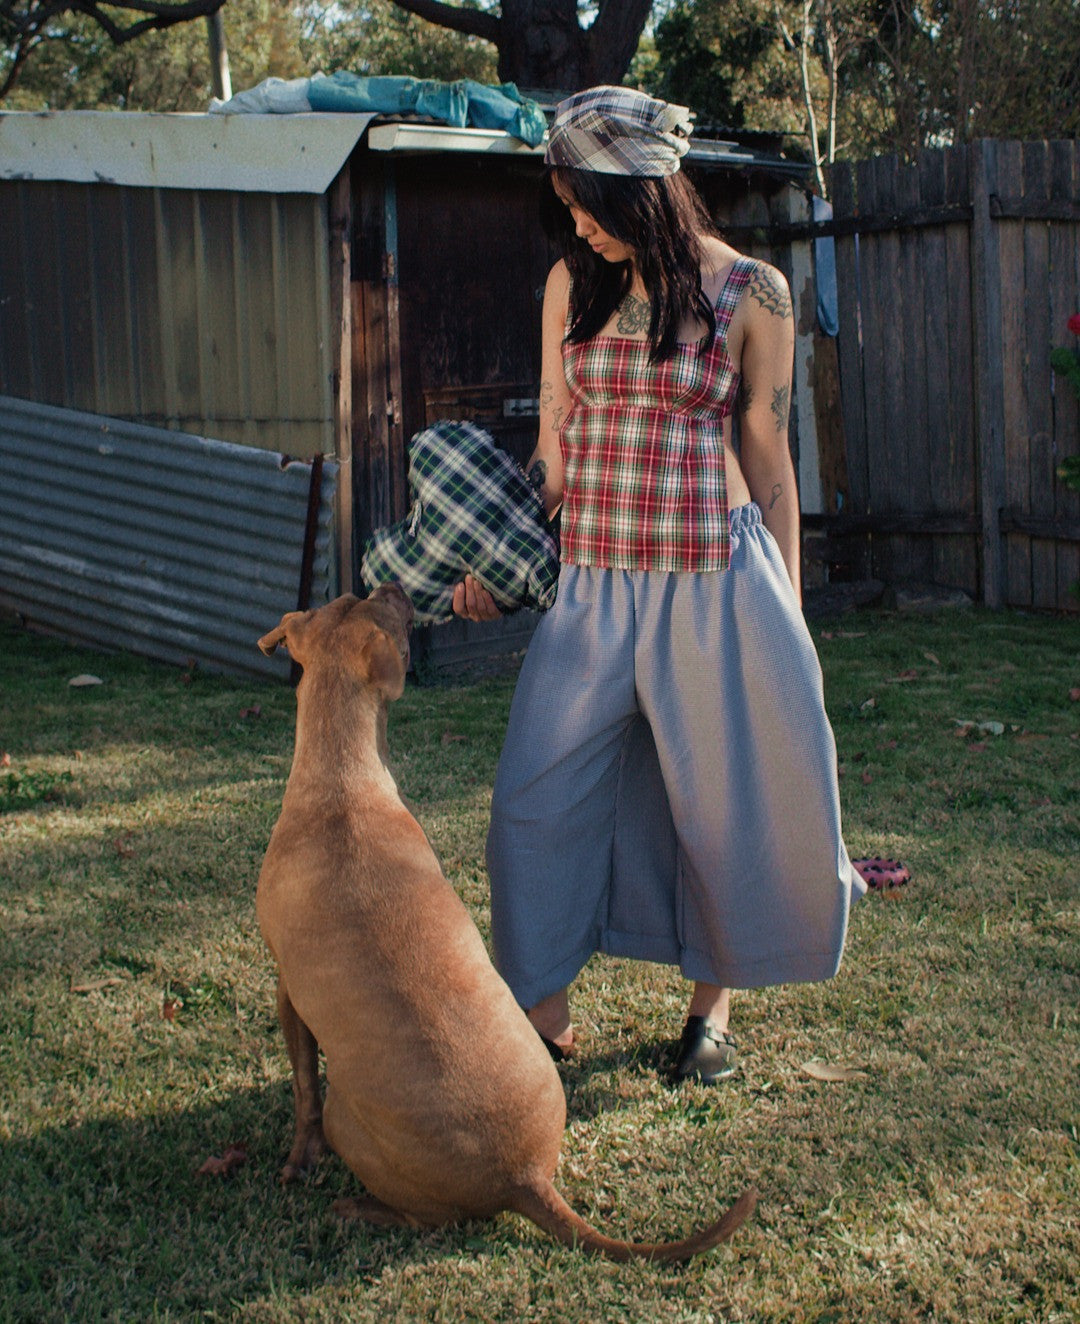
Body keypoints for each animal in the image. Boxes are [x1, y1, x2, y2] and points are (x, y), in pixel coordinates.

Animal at [256, 590, 757, 1260]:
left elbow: (304, 1088)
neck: (341, 781)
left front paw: (297, 1161)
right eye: (351, 599)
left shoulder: (288, 991)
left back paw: (359, 1207)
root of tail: (525, 1177)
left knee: (418, 1214)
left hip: (350, 1121)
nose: (392, 586)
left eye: (371, 602)